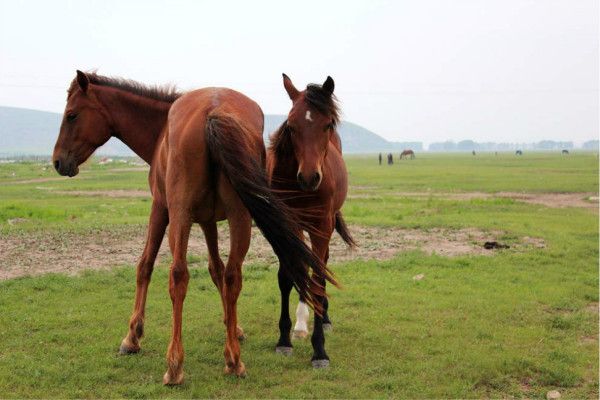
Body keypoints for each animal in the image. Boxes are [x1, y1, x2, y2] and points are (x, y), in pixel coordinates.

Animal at [51, 71, 336, 384]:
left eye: (72, 115)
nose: (57, 161)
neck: (160, 130)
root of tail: (213, 110)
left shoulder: (161, 208)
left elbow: (145, 265)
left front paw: (132, 337)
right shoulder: (208, 220)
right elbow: (217, 270)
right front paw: (233, 328)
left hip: (180, 215)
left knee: (178, 275)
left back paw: (175, 365)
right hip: (239, 217)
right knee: (233, 275)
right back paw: (233, 360)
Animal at [266, 73, 354, 368]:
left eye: (327, 125)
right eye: (291, 126)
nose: (308, 177)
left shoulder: (321, 227)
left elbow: (318, 280)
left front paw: (320, 350)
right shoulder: (286, 226)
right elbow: (288, 276)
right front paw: (284, 339)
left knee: (321, 268)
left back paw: (322, 318)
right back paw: (301, 324)